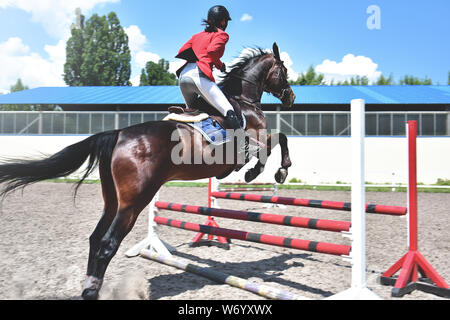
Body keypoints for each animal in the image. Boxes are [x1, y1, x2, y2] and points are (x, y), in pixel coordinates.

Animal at [0, 42, 296, 300]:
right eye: (284, 70)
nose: (291, 97)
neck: (243, 101)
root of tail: (118, 133)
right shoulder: (255, 140)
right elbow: (278, 140)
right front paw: (271, 171)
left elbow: (277, 140)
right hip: (134, 203)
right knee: (107, 244)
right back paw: (94, 292)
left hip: (114, 201)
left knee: (95, 238)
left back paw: (89, 286)